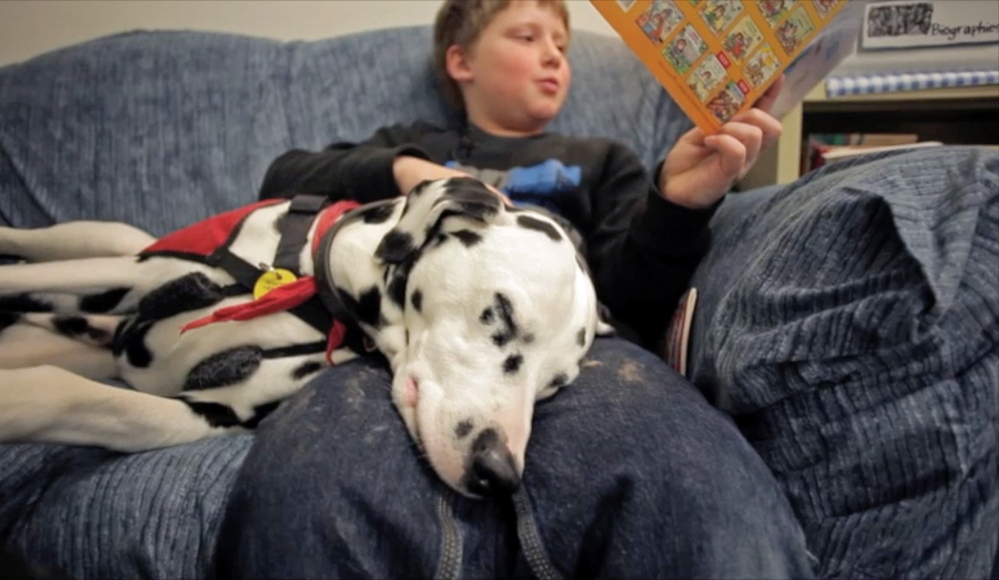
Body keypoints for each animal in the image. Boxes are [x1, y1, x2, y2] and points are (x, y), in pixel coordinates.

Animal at [0, 178, 608, 498]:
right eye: (500, 313)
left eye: (554, 385)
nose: (499, 476)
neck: (311, 294)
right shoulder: (141, 276)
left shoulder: (212, 411)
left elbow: (91, 401)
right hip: (105, 243)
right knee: (34, 249)